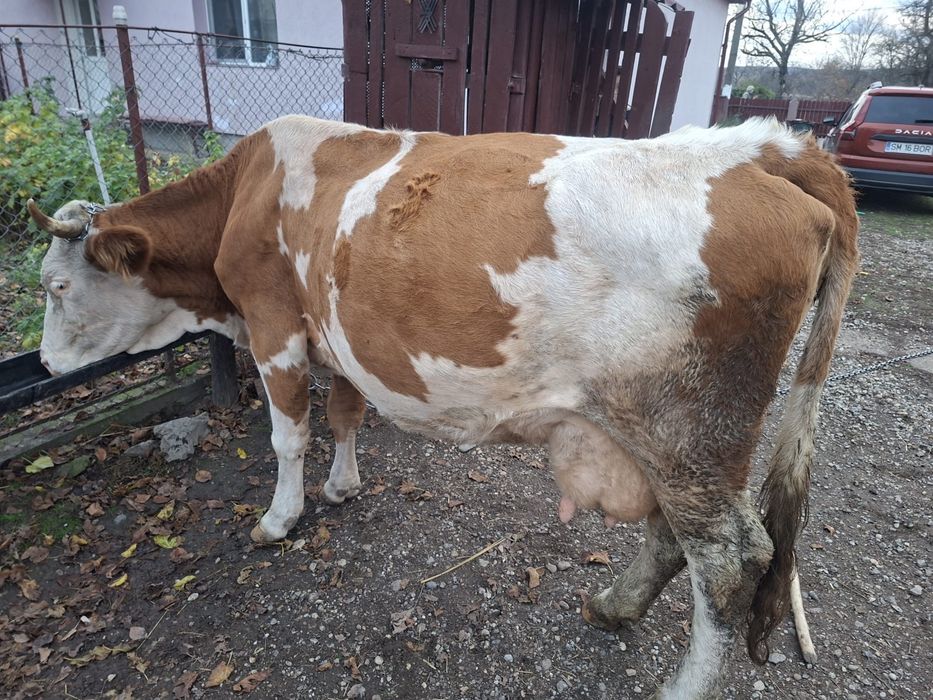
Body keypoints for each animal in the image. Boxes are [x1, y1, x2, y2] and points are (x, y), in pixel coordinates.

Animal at [28, 116, 858, 698]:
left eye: (57, 287)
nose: (42, 365)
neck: (246, 193)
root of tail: (761, 147)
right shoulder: (339, 334)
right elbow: (345, 415)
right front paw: (343, 485)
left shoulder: (273, 325)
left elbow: (289, 435)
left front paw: (280, 516)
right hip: (678, 437)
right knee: (673, 536)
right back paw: (613, 605)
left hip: (685, 425)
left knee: (727, 558)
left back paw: (679, 683)